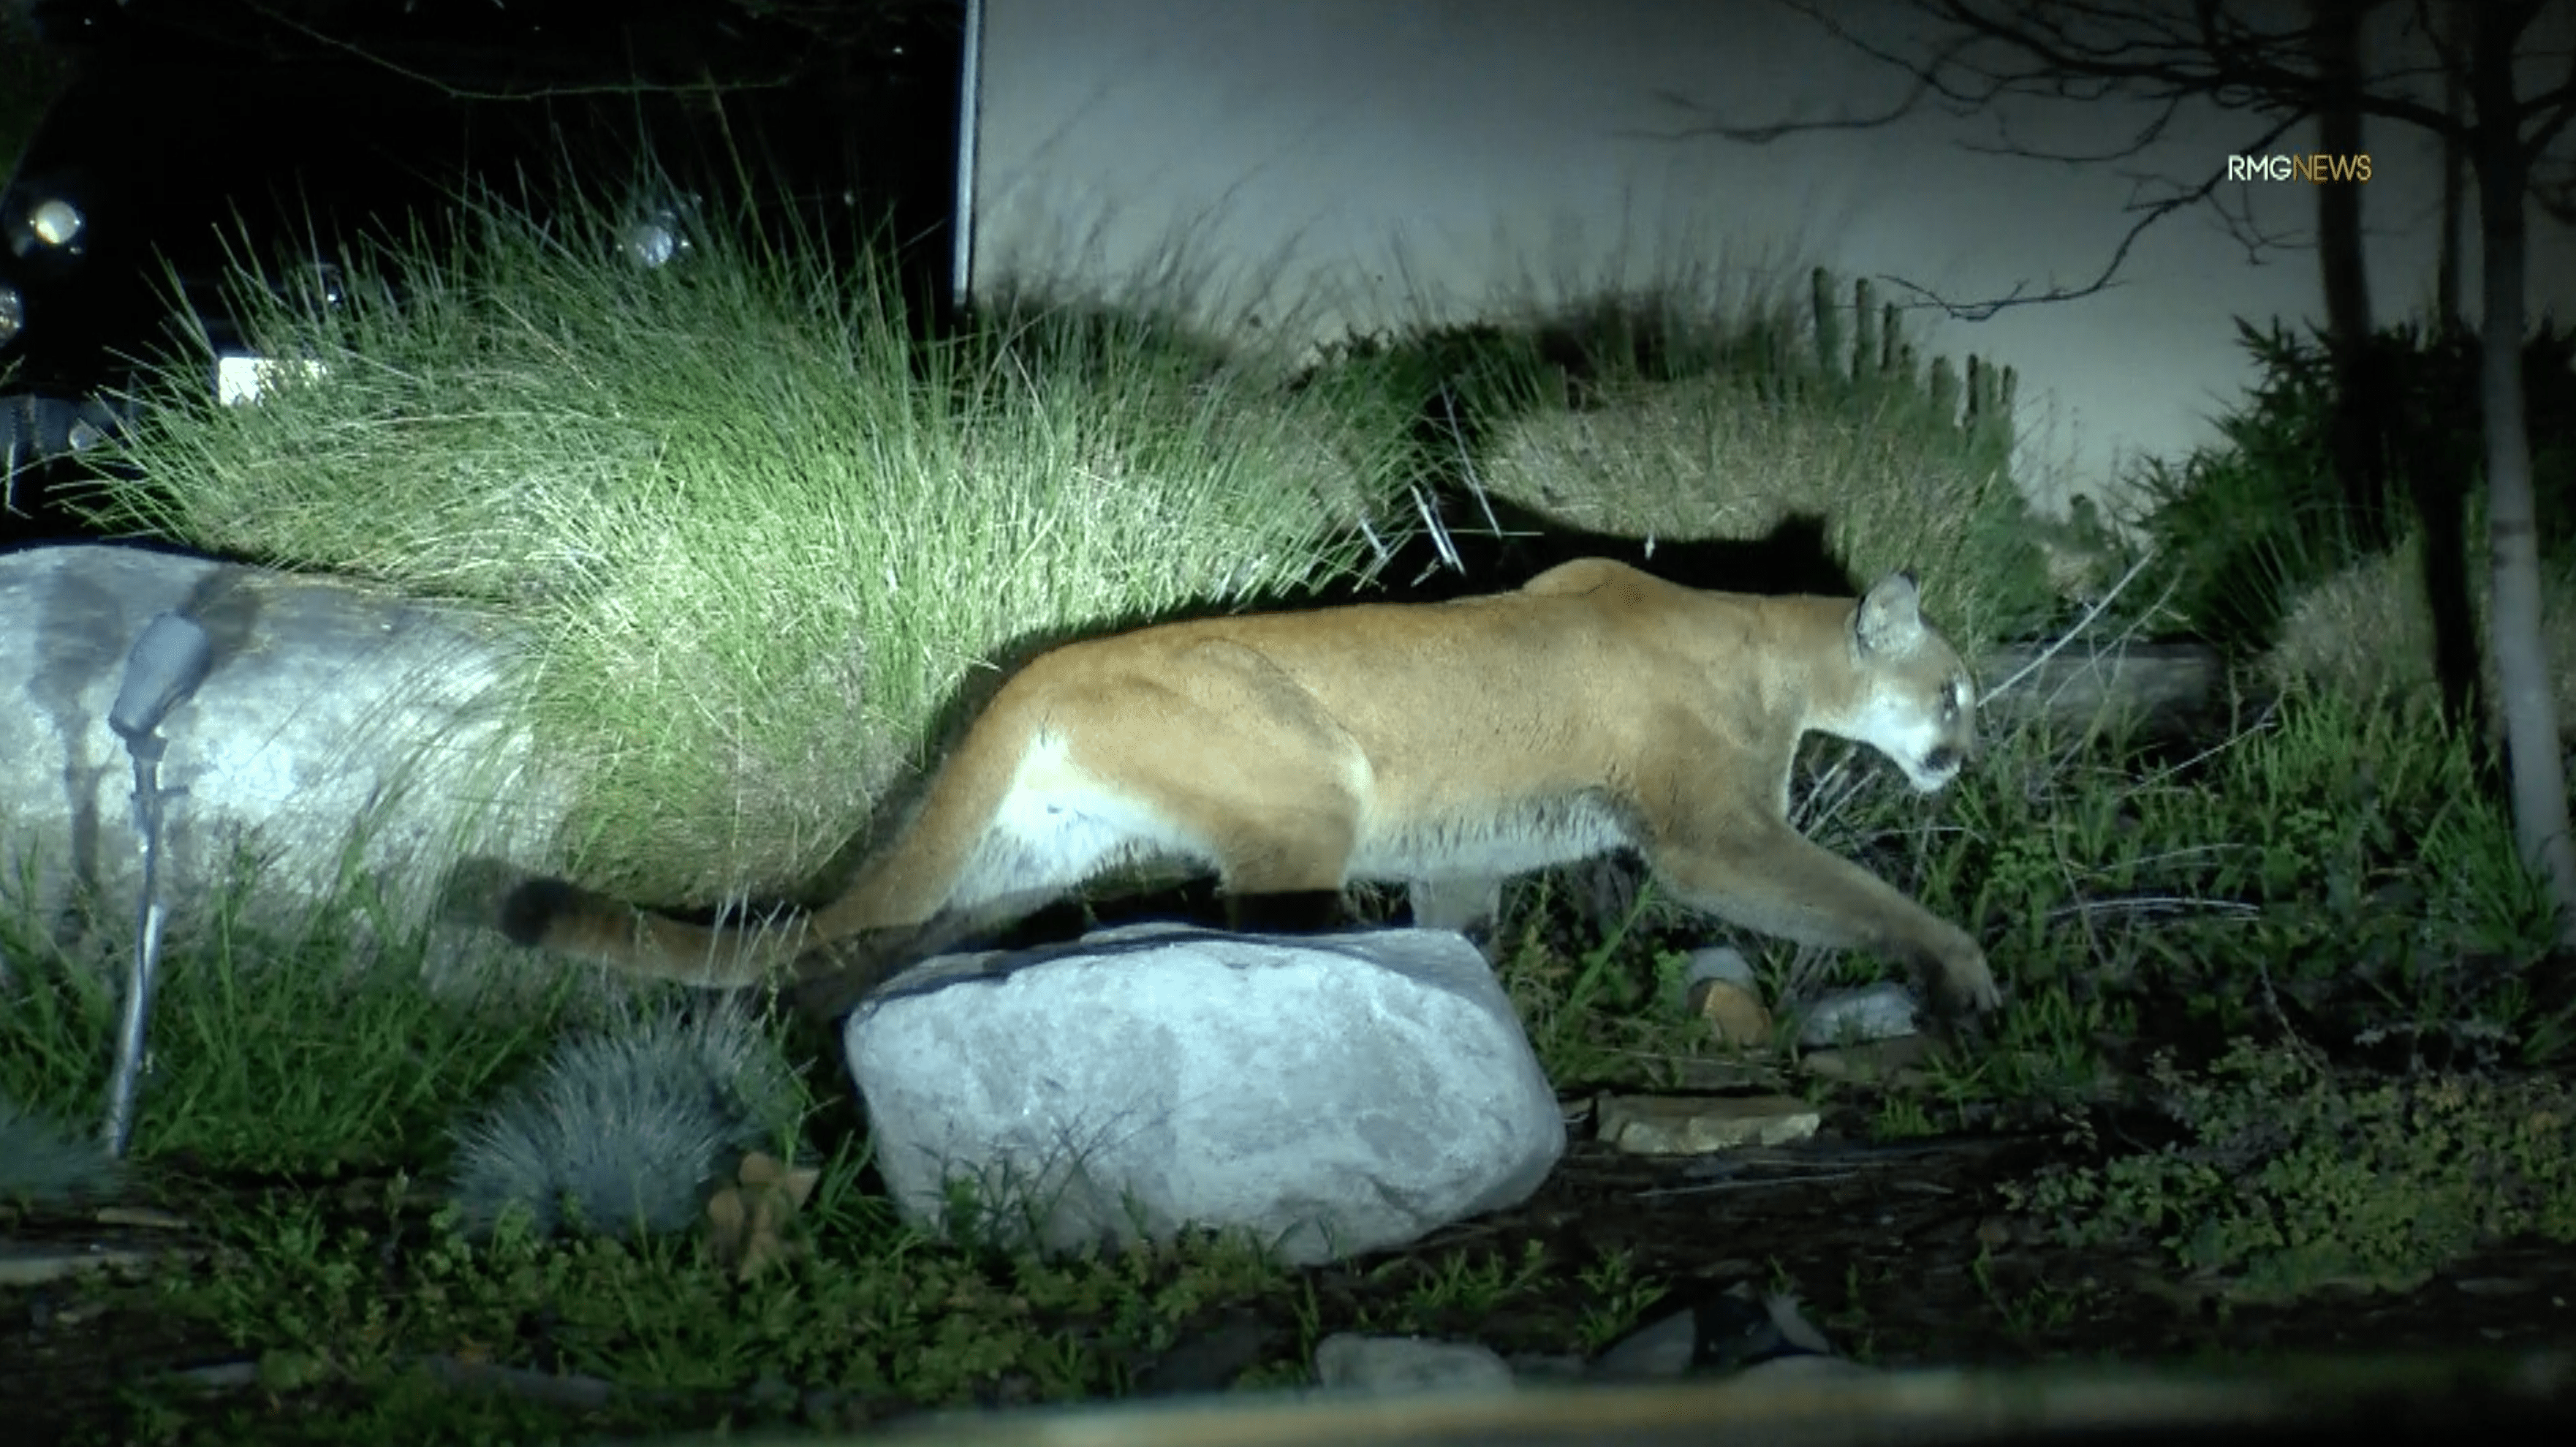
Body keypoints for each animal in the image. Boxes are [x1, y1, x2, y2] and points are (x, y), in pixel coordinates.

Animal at [492, 553, 1999, 1014]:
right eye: (1953, 691)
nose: (1968, 755)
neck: (1765, 648)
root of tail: (1034, 670)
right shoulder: (1709, 836)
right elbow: (1852, 897)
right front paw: (1962, 969)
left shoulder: (1464, 856)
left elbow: (1459, 923)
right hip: (1302, 804)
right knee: (1268, 917)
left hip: (1011, 865)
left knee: (868, 943)